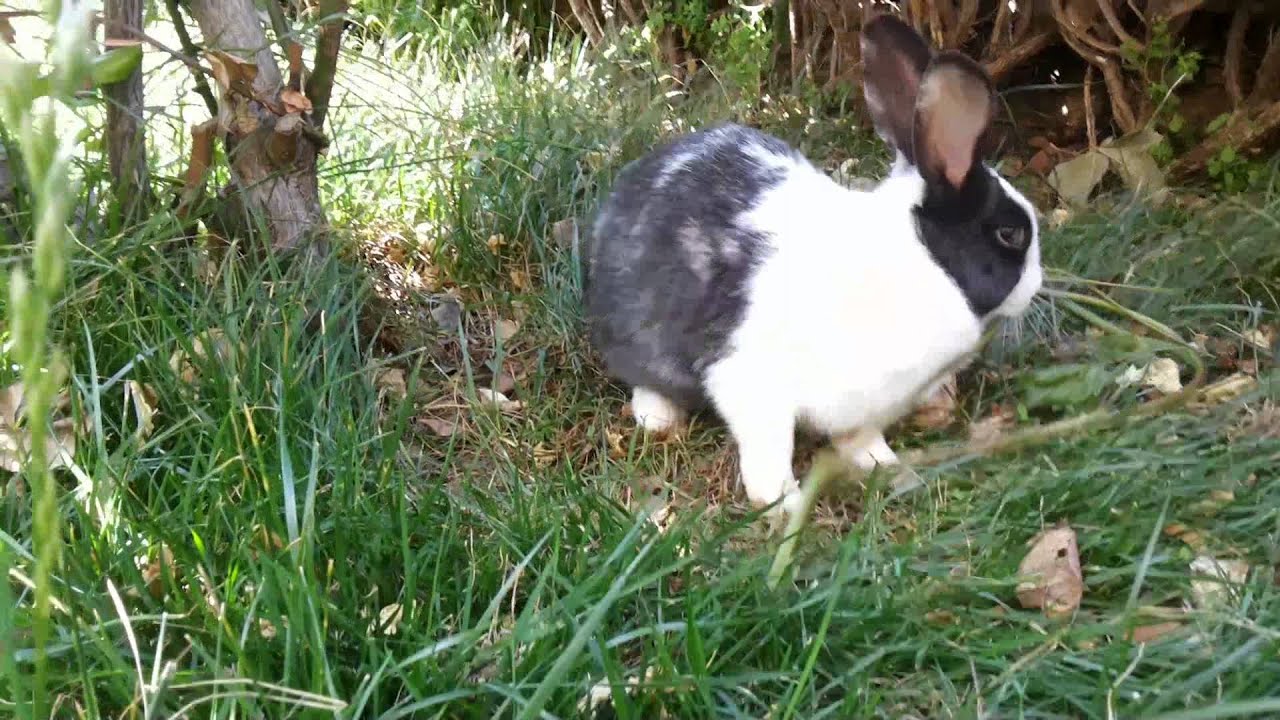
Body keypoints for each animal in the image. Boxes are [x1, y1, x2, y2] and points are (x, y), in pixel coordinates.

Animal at [583, 13, 1043, 513]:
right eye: (1011, 234)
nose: (1038, 283)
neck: (922, 264)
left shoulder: (861, 408)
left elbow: (860, 439)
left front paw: (887, 465)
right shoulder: (749, 380)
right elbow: (770, 451)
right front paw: (783, 504)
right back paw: (660, 417)